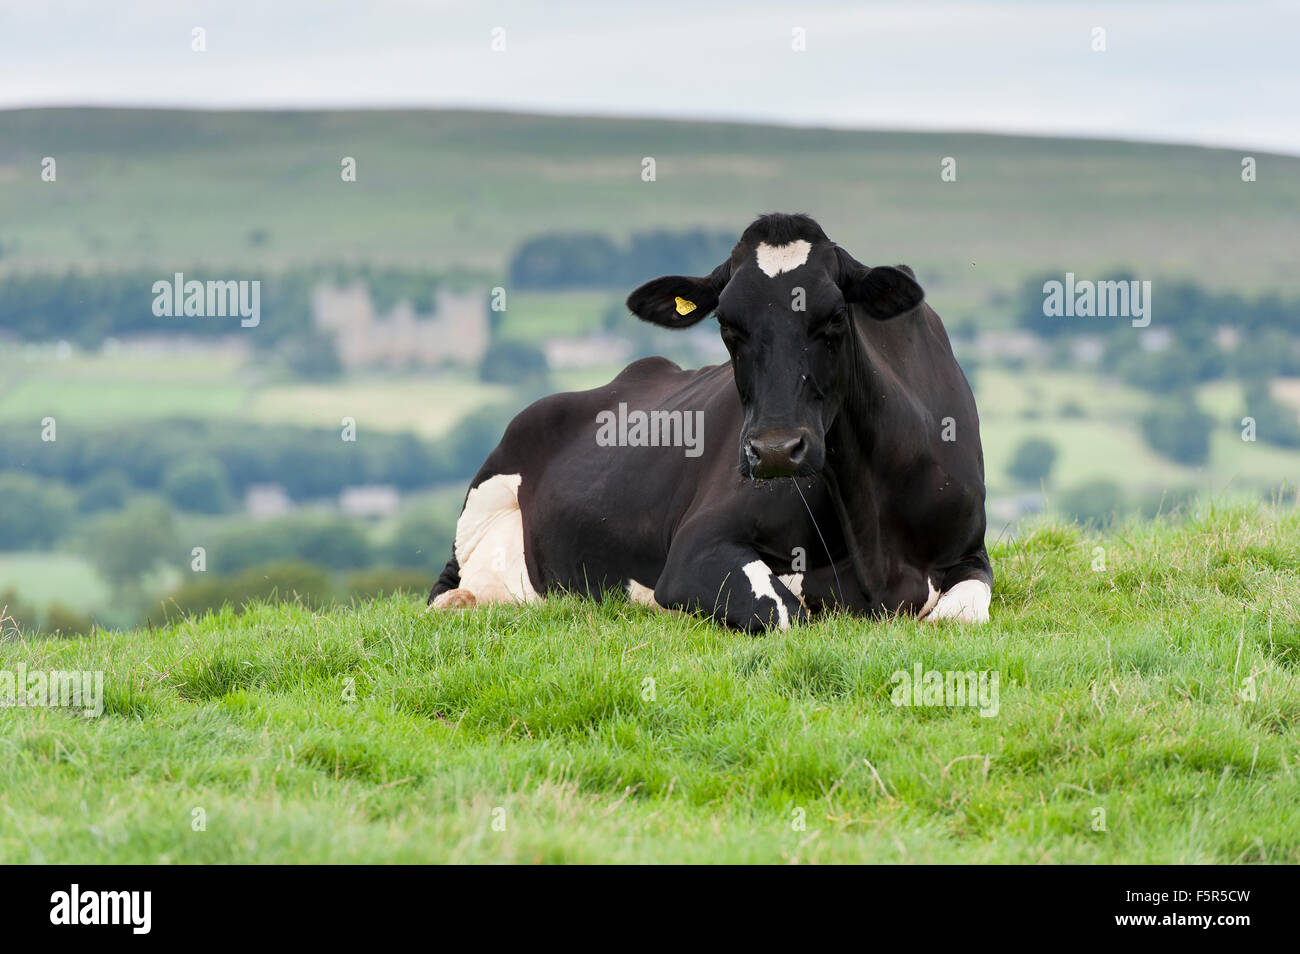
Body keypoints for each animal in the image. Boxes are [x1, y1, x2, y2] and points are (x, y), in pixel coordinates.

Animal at [428, 213, 992, 631]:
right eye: (727, 324)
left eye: (835, 317)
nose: (773, 450)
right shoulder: (694, 550)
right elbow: (785, 610)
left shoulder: (971, 552)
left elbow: (959, 614)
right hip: (483, 499)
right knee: (445, 589)